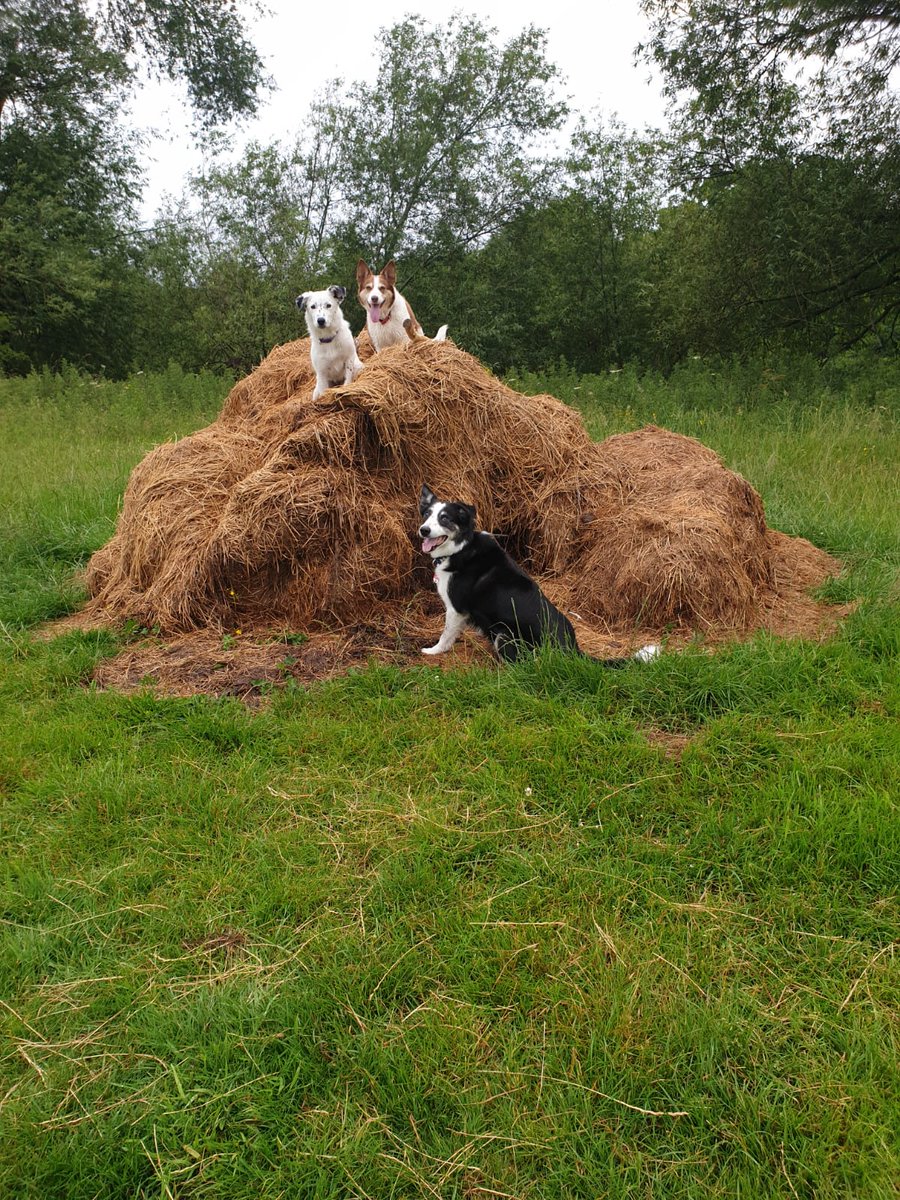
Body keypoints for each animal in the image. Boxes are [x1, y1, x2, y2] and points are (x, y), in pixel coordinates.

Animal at [417, 484, 662, 667]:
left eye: (445, 518)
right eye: (427, 515)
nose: (423, 530)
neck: (461, 547)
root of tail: (571, 649)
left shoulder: (456, 609)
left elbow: (446, 635)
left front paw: (433, 651)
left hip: (505, 634)